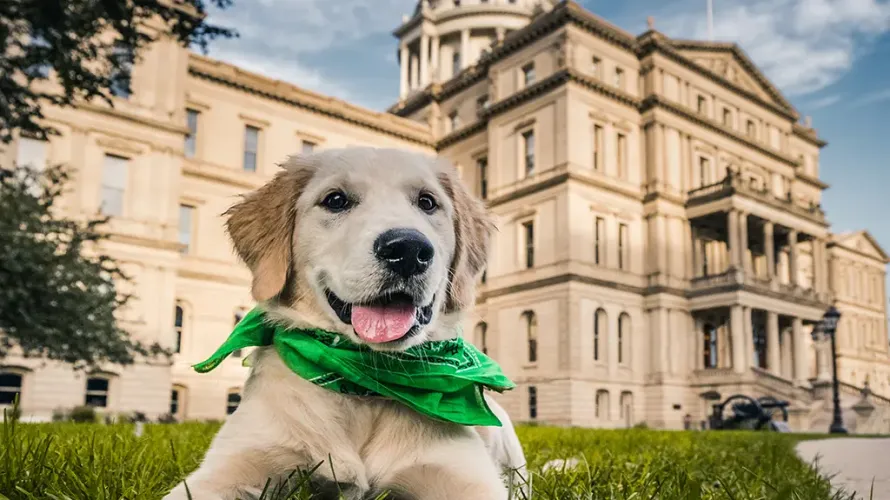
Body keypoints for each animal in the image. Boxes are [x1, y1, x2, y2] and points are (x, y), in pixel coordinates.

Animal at [166, 147, 524, 500]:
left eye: (427, 202)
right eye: (336, 200)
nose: (408, 249)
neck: (364, 387)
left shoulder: (464, 476)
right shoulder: (228, 468)